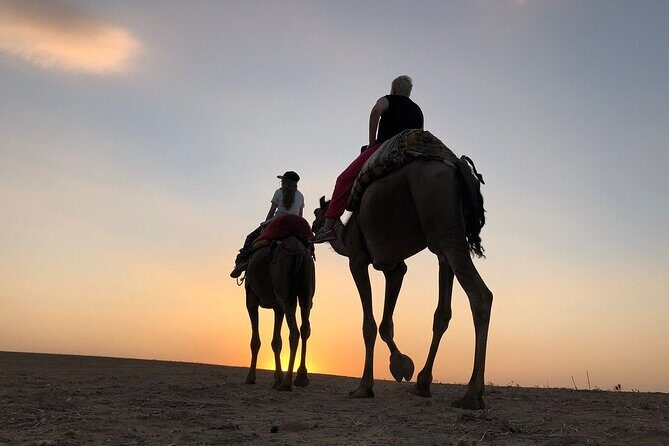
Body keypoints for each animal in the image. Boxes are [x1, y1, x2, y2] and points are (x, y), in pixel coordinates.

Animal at [243, 236, 315, 391]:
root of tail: (297, 248)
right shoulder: (277, 307)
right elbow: (276, 341)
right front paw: (277, 378)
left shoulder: (251, 299)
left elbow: (255, 341)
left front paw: (250, 378)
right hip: (307, 287)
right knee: (305, 327)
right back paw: (301, 377)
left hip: (283, 289)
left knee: (294, 332)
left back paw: (287, 383)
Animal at [312, 159, 492, 409]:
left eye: (316, 212)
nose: (313, 227)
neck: (345, 235)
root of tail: (457, 166)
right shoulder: (394, 268)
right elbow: (386, 324)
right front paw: (401, 365)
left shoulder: (357, 259)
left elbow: (369, 325)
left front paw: (364, 387)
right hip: (444, 235)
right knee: (443, 311)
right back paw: (424, 384)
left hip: (443, 221)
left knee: (480, 295)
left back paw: (472, 395)